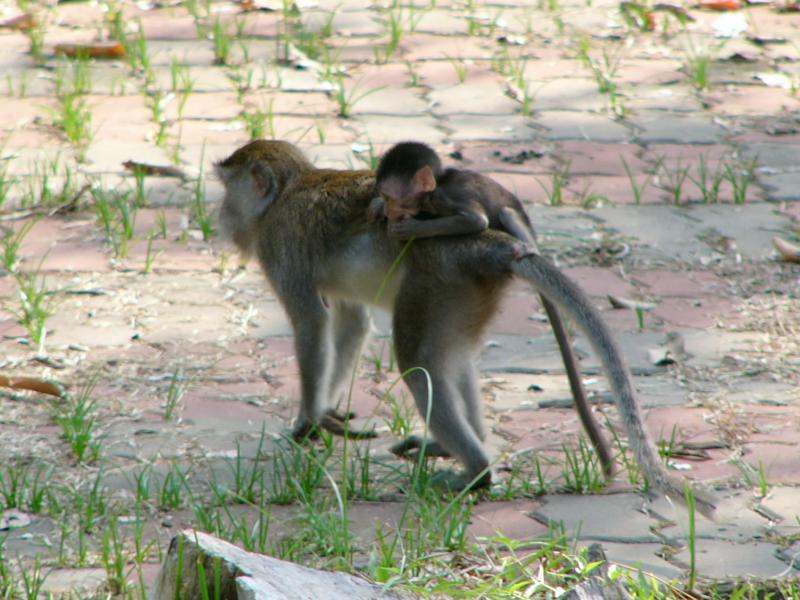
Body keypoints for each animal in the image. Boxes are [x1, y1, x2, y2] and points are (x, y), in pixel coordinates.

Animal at [372, 141, 536, 258]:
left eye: (388, 198)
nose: (387, 211)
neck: (436, 186)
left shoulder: (445, 197)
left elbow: (476, 220)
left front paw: (412, 229)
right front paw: (378, 206)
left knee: (506, 212)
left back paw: (530, 247)